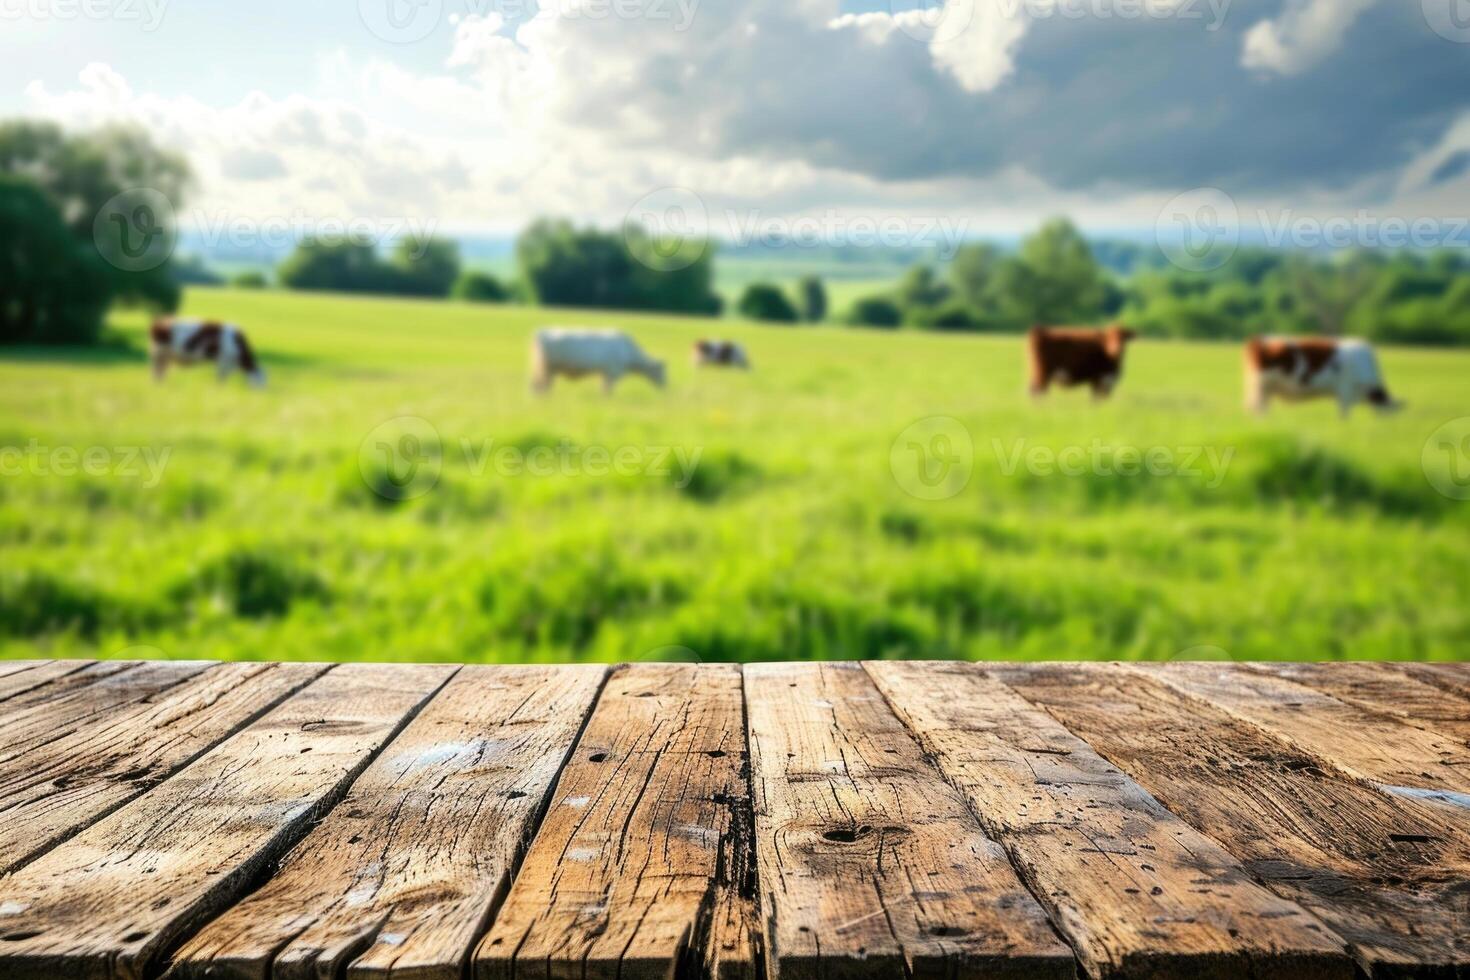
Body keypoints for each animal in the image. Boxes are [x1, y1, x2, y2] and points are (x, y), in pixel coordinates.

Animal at [529, 326, 667, 393]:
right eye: (661, 372)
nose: (666, 388)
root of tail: (540, 332)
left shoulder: (605, 374)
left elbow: (604, 390)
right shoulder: (612, 373)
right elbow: (607, 391)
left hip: (545, 369)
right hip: (546, 369)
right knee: (540, 387)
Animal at [1246, 337, 1405, 417]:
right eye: (1390, 413)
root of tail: (1259, 341)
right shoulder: (1345, 391)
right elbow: (1344, 414)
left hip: (1263, 388)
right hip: (1262, 386)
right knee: (1259, 407)